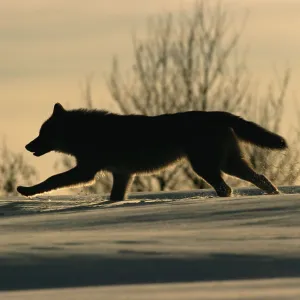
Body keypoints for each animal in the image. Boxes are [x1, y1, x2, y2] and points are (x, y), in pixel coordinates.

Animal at [17, 102, 288, 200]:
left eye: (42, 134)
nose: (27, 145)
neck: (87, 132)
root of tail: (218, 114)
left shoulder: (86, 171)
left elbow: (52, 179)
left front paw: (26, 190)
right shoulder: (122, 175)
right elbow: (115, 197)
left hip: (205, 167)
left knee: (227, 188)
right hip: (228, 164)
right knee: (261, 179)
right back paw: (275, 196)